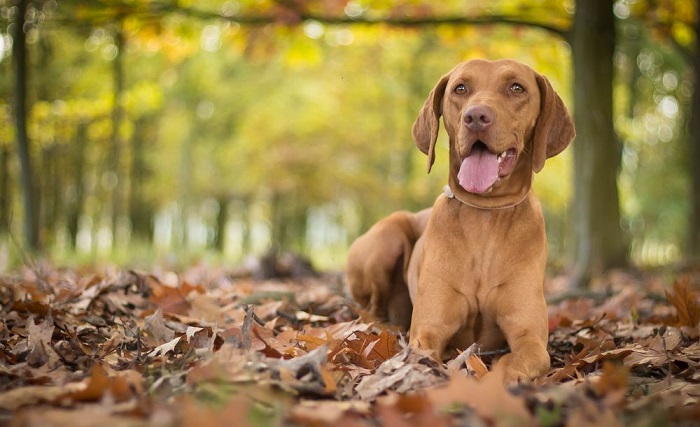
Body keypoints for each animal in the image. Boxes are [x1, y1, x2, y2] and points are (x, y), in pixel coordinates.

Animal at [346, 58, 576, 382]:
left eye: (517, 88)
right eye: (460, 88)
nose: (476, 116)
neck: (485, 214)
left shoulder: (530, 339)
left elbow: (514, 360)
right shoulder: (428, 329)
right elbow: (423, 349)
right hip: (386, 240)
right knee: (370, 307)